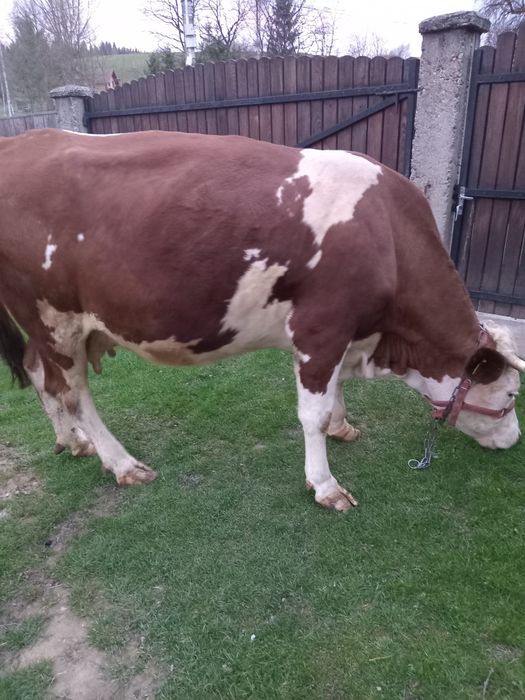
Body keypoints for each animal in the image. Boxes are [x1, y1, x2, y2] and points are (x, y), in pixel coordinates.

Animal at [0, 129, 523, 511]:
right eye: (511, 395)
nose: (513, 440)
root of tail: (24, 140)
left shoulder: (344, 334)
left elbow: (335, 390)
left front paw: (342, 426)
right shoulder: (321, 327)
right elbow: (312, 413)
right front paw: (325, 484)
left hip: (48, 325)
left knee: (39, 374)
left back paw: (73, 443)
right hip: (55, 319)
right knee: (73, 392)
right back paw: (122, 463)